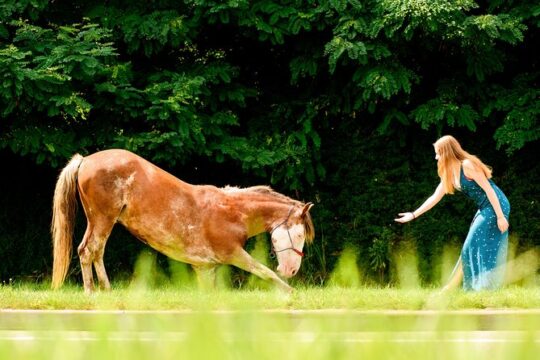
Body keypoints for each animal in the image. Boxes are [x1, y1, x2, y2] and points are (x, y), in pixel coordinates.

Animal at [51, 149, 314, 292]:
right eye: (300, 234)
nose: (291, 270)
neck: (233, 212)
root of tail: (85, 160)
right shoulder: (233, 253)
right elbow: (264, 272)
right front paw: (290, 291)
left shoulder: (205, 268)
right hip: (102, 219)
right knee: (88, 250)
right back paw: (92, 292)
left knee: (96, 252)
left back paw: (106, 290)